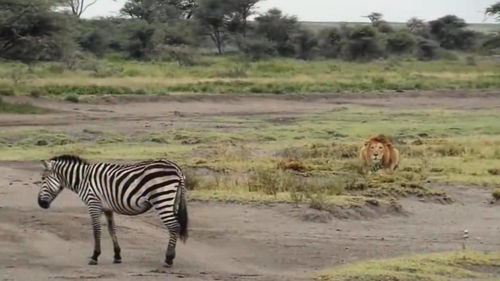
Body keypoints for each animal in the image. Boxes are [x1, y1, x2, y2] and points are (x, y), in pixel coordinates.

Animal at [35, 154, 188, 266]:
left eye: (43, 179)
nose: (40, 204)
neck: (82, 179)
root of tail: (175, 167)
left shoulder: (93, 204)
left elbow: (96, 230)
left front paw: (95, 256)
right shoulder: (107, 208)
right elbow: (112, 230)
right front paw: (117, 256)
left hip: (162, 198)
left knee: (174, 226)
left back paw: (168, 259)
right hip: (172, 200)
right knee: (175, 226)